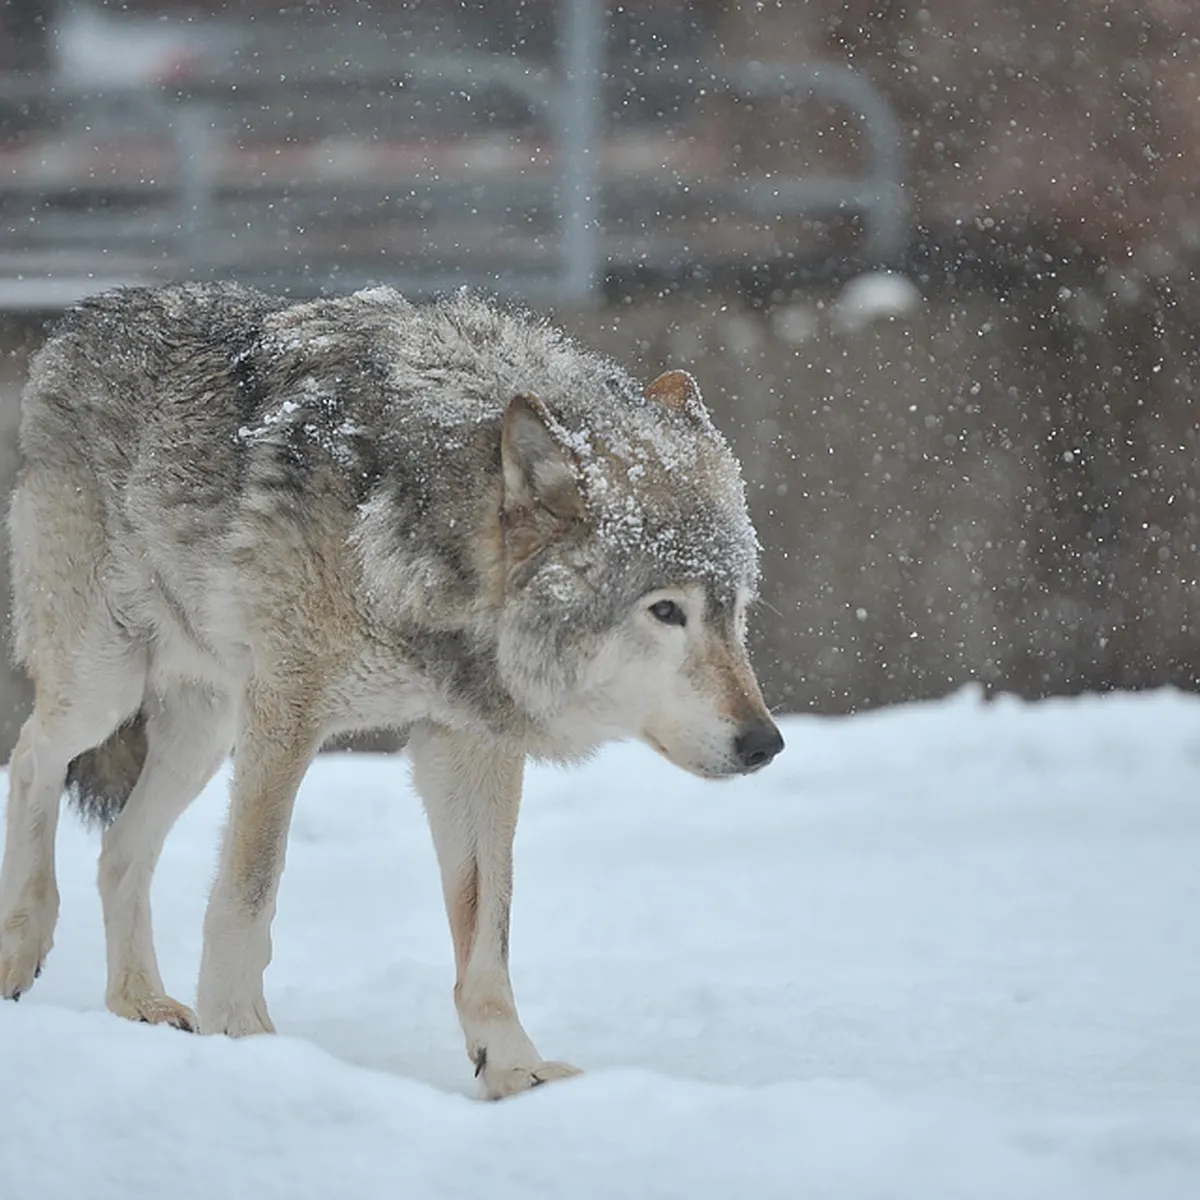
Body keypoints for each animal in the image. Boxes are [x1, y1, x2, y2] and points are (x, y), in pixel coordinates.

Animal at [0, 283, 782, 1099]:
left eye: (733, 611)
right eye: (665, 611)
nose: (766, 743)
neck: (420, 543)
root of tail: (84, 317)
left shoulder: (468, 745)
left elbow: (489, 928)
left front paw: (513, 1068)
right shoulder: (288, 712)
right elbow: (248, 892)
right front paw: (244, 1039)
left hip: (203, 734)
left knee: (119, 850)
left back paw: (141, 1003)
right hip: (106, 685)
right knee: (32, 758)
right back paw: (23, 945)